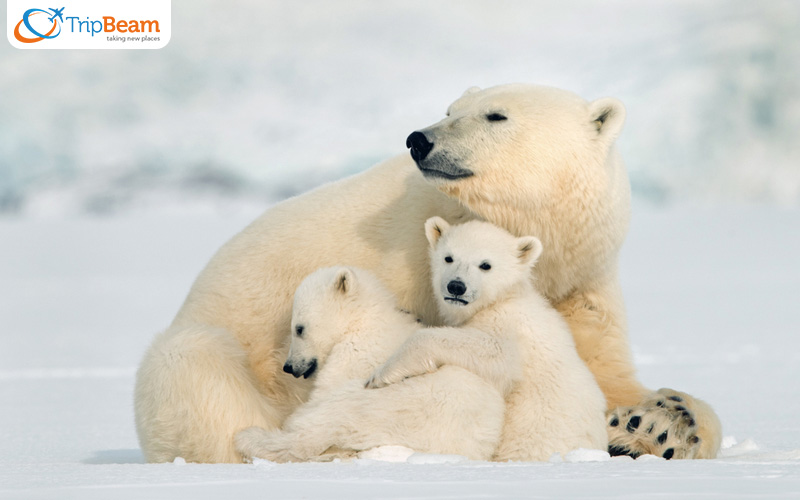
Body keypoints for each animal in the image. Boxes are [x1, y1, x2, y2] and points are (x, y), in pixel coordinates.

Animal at [368, 217, 608, 458]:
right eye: (448, 257)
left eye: (485, 265)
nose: (456, 286)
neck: (502, 298)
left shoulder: (508, 326)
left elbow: (496, 353)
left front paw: (381, 375)